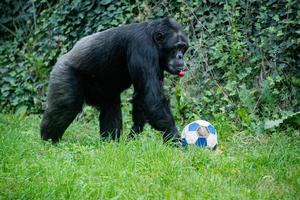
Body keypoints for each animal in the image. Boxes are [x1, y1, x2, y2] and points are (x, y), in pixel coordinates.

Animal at [40, 16, 188, 143]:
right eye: (176, 47)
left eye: (183, 48)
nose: (180, 56)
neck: (153, 41)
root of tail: (62, 57)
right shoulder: (142, 48)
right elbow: (151, 98)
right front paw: (175, 138)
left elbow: (142, 96)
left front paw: (133, 135)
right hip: (63, 72)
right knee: (66, 105)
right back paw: (48, 140)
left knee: (110, 105)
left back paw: (110, 143)